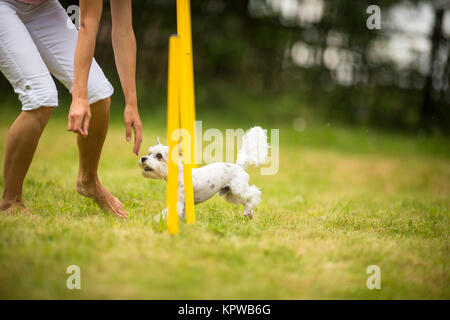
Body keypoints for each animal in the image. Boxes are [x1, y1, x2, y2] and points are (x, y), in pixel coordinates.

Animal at [139, 126, 268, 221]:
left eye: (159, 156)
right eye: (149, 153)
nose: (143, 158)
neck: (179, 175)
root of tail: (238, 165)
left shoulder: (178, 202)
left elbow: (166, 213)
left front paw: (155, 221)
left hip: (238, 189)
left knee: (254, 194)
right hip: (231, 194)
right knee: (247, 201)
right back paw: (248, 213)